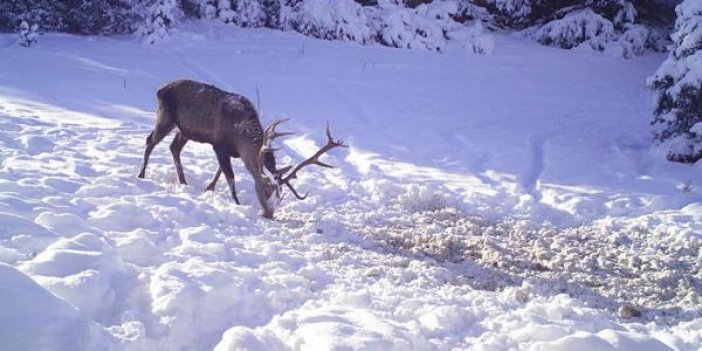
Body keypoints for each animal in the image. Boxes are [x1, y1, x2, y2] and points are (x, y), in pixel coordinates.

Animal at [137, 78, 346, 219]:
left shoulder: (230, 152)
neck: (239, 134)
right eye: (265, 190)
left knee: (174, 148)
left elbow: (219, 172)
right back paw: (141, 175)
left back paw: (183, 182)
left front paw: (209, 188)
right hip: (165, 117)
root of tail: (160, 89)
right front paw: (236, 203)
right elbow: (230, 177)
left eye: (279, 195)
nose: (269, 214)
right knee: (150, 141)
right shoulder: (219, 145)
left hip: (185, 130)